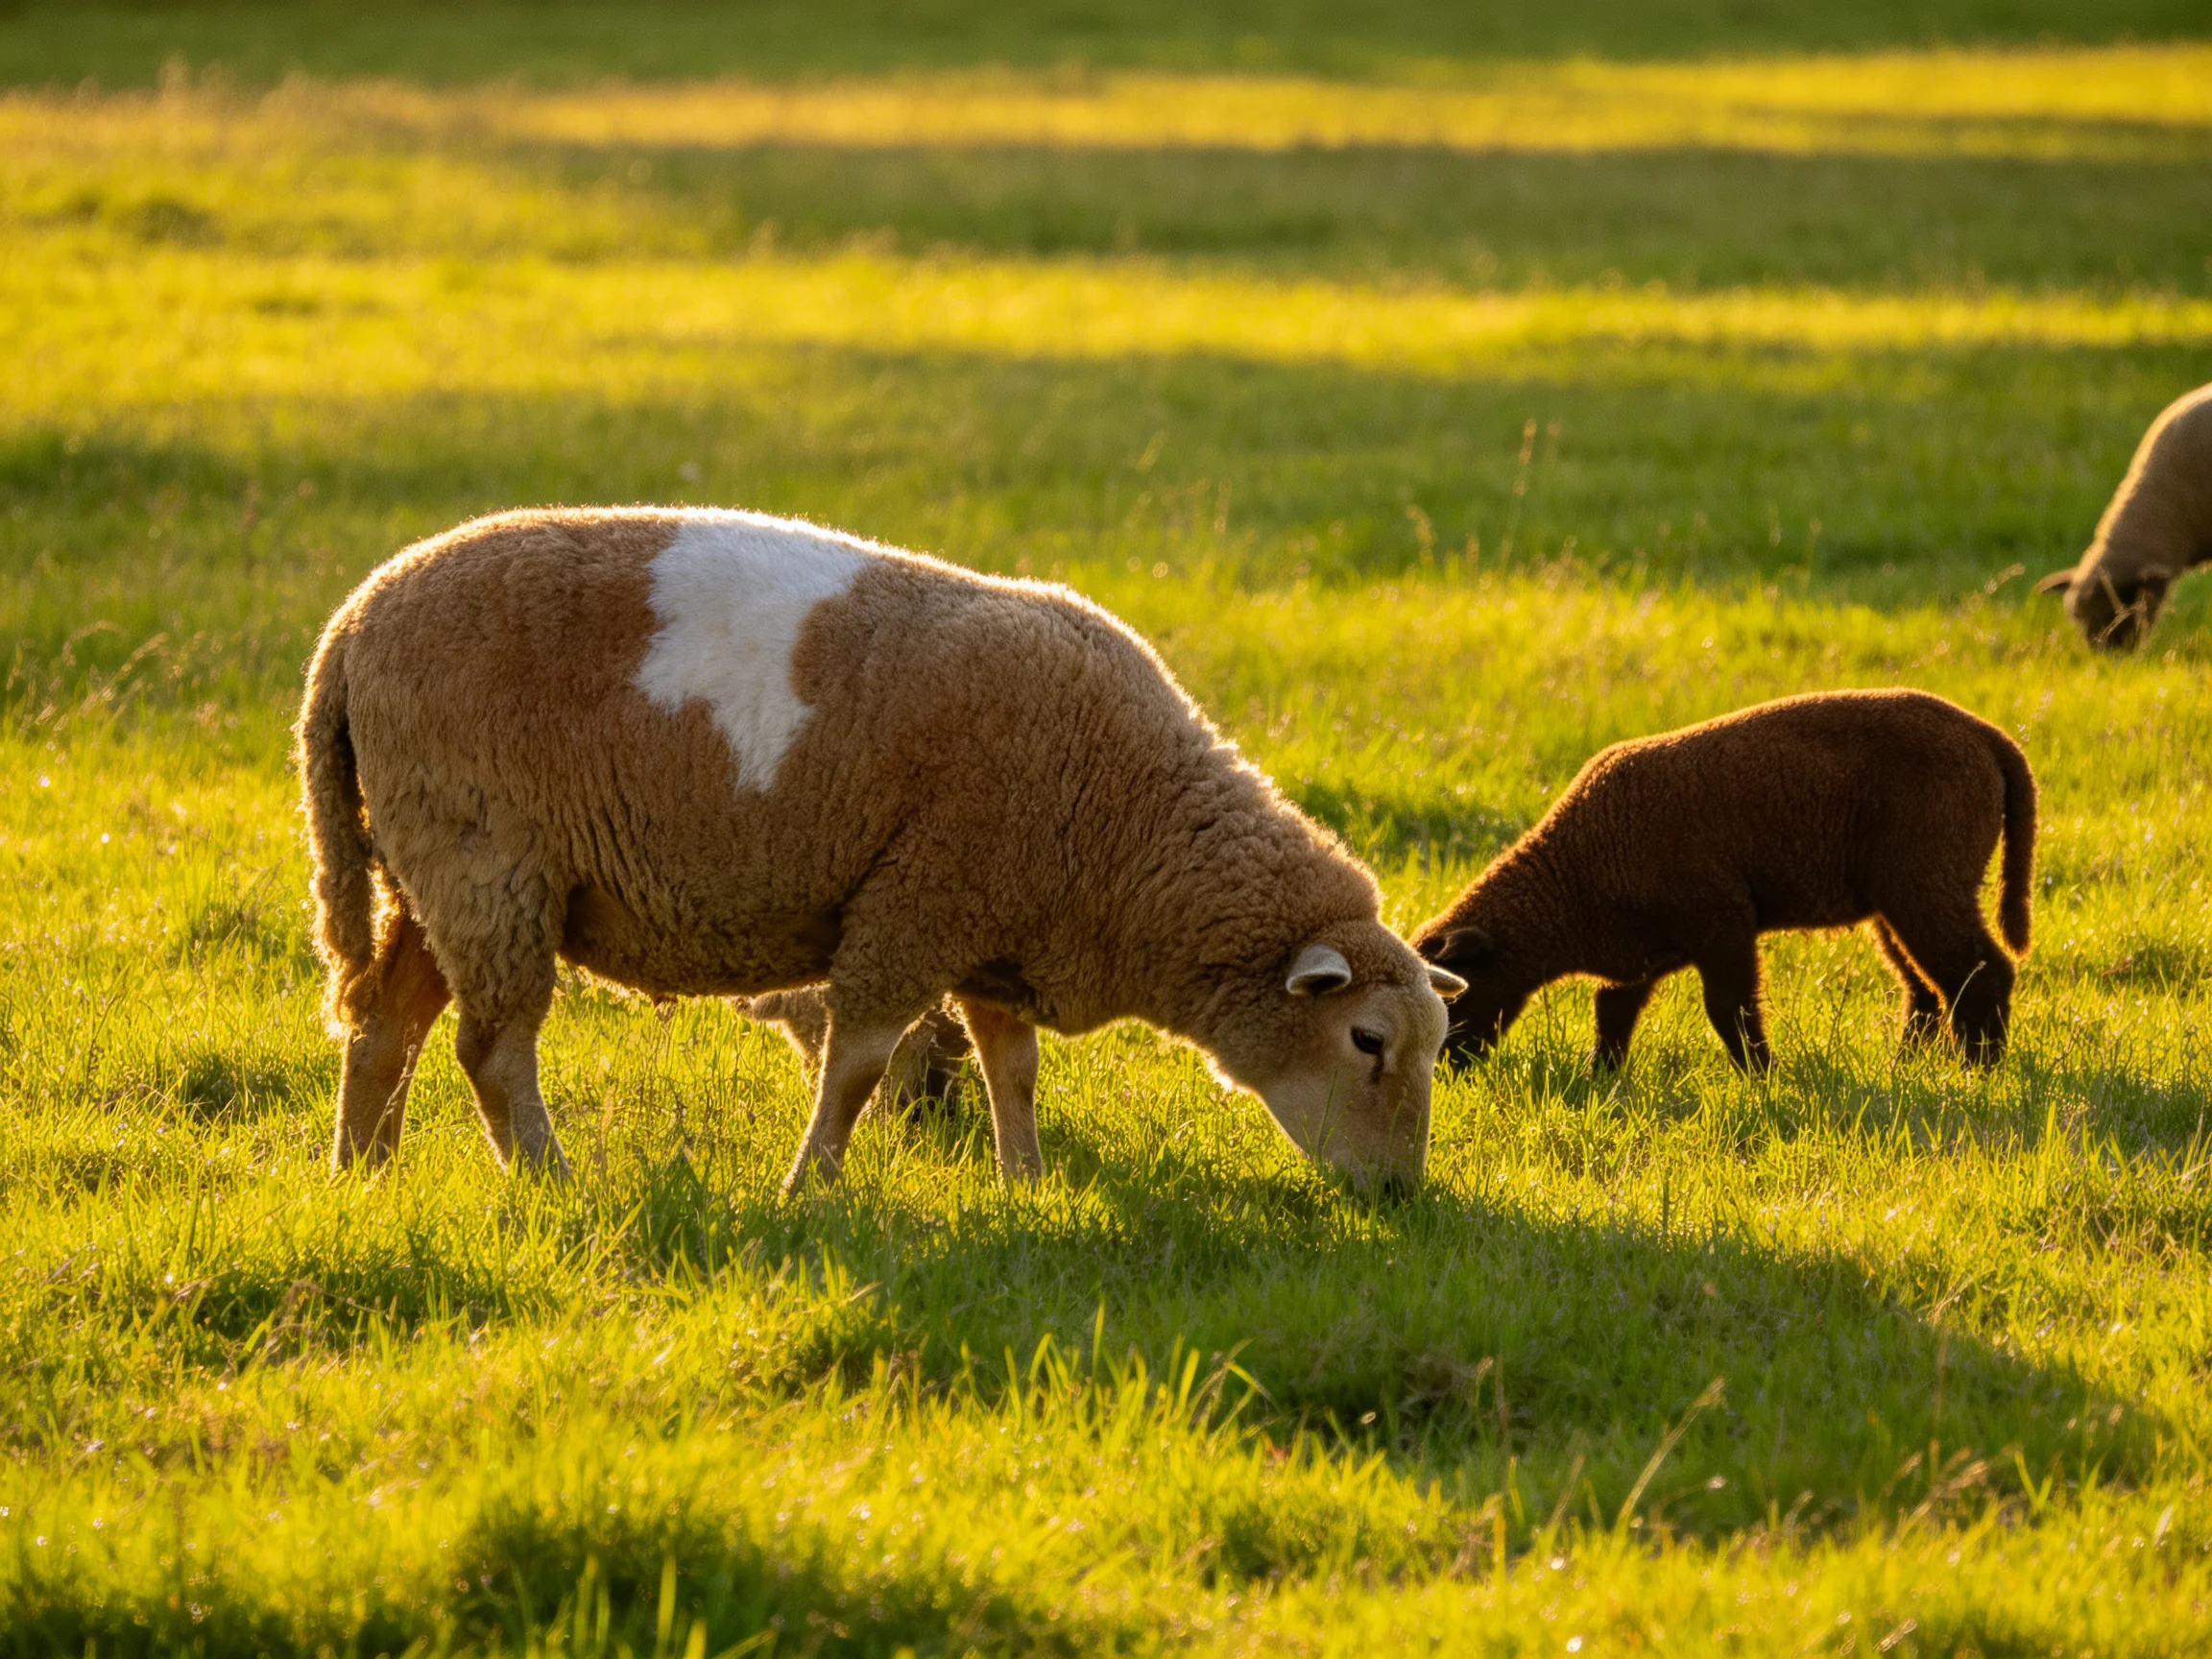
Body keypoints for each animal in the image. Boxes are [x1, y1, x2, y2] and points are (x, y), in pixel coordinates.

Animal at [298, 507, 1465, 1193]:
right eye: (1367, 1041)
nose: (1400, 1196)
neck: (1127, 826)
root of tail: (349, 627)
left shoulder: (994, 925)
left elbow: (1014, 1068)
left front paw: (1025, 1184)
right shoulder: (918, 903)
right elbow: (859, 1062)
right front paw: (809, 1189)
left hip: (429, 868)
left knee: (386, 1025)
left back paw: (364, 1174)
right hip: (484, 859)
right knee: (489, 1048)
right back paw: (548, 1180)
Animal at [1411, 690, 2035, 1073]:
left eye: (1452, 998)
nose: (1444, 1074)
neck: (1575, 874)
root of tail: (1988, 736)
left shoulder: (1722, 922)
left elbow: (1728, 1009)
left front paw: (1764, 1076)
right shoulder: (1646, 950)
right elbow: (1612, 1010)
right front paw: (1600, 1079)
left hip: (1926, 880)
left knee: (1979, 974)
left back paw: (1979, 1070)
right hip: (1897, 897)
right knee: (1925, 989)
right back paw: (1909, 1067)